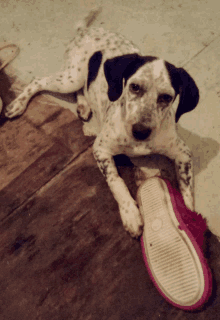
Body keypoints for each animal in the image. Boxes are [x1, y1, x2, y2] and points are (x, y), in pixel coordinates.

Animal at [4, 8, 199, 238]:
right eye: (134, 87)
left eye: (166, 98)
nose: (140, 131)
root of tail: (85, 29)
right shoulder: (100, 149)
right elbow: (116, 182)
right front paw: (130, 213)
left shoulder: (183, 153)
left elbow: (187, 192)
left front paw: (189, 217)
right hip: (71, 77)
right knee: (39, 81)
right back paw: (17, 105)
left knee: (83, 88)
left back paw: (83, 105)